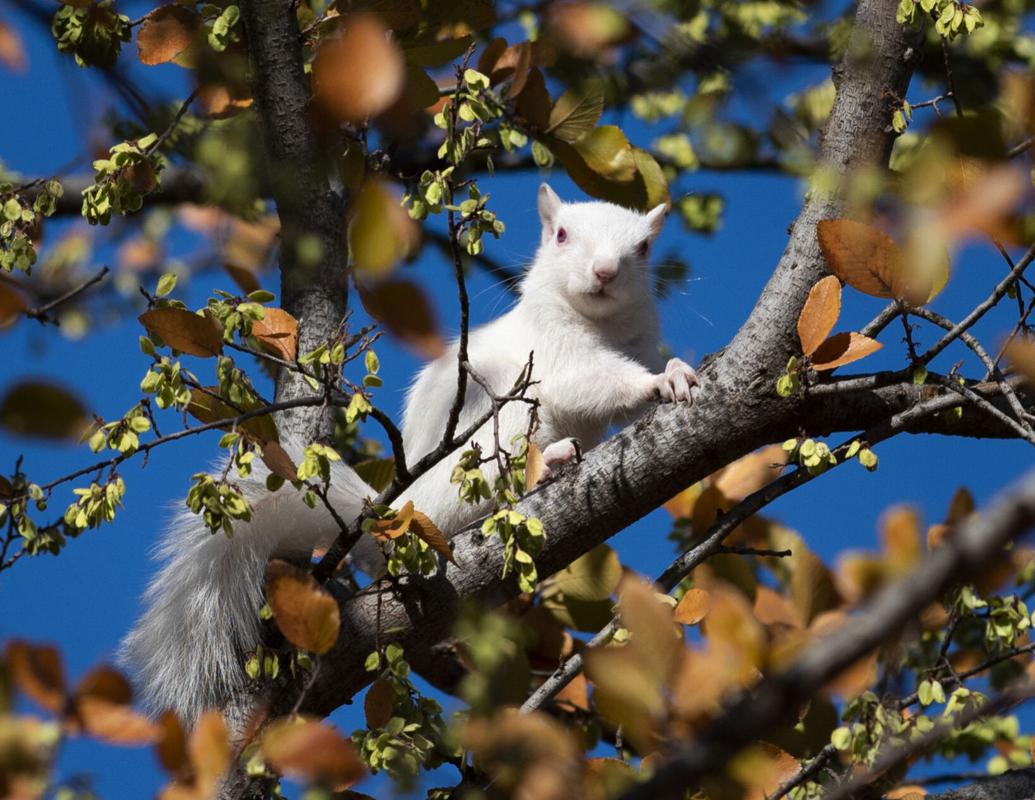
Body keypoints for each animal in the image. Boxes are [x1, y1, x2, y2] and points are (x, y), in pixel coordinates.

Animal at [119, 184, 698, 725]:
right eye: (560, 235)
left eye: (643, 247)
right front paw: (656, 383)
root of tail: (395, 517)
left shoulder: (638, 340)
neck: (599, 324)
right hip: (493, 426)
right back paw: (547, 465)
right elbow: (589, 381)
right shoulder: (553, 353)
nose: (604, 272)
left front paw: (672, 370)